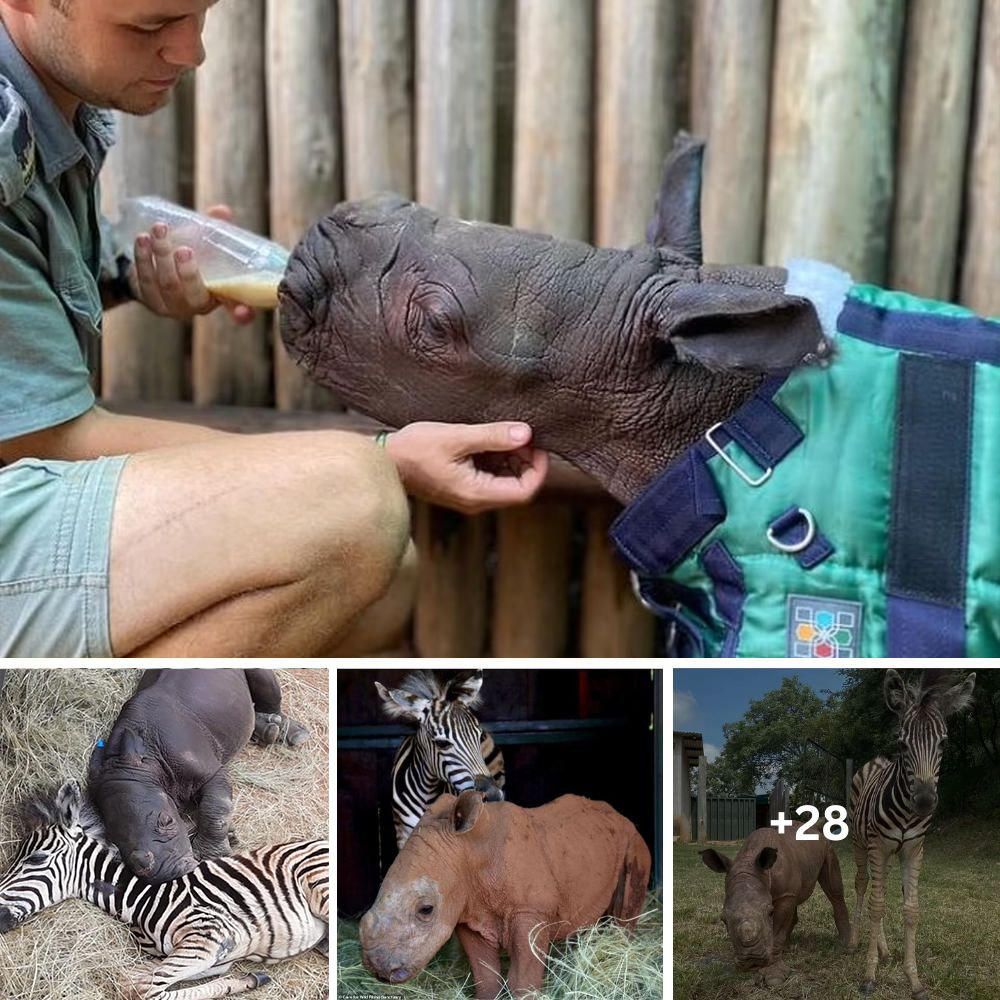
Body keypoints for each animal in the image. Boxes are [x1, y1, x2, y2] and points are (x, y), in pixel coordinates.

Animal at [0, 780, 328, 1000]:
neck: (142, 900)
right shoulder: (215, 955)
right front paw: (248, 979)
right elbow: (143, 979)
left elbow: (143, 988)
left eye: (36, 859)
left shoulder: (208, 938)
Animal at [364, 788, 652, 1000]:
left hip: (634, 841)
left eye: (426, 910)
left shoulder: (530, 911)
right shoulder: (469, 913)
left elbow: (522, 979)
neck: (471, 851)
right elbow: (485, 975)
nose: (376, 968)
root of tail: (619, 815)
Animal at [700, 820, 848, 984]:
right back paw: (787, 946)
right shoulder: (785, 893)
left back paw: (846, 946)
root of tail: (815, 829)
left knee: (834, 891)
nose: (752, 960)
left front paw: (774, 977)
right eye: (723, 919)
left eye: (770, 913)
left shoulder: (785, 894)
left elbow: (777, 932)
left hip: (827, 848)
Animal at [848, 672, 972, 1000]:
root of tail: (876, 759)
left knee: (877, 887)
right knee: (863, 885)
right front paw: (869, 976)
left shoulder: (914, 849)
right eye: (901, 744)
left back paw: (883, 949)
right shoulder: (878, 847)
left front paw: (913, 980)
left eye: (943, 743)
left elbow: (911, 910)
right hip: (860, 843)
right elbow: (877, 905)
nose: (925, 802)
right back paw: (853, 941)